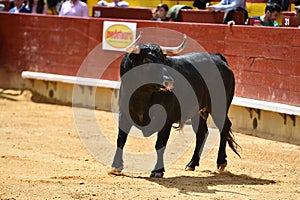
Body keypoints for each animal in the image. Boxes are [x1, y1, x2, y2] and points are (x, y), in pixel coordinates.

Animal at [110, 38, 239, 177]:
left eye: (163, 60)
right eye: (147, 61)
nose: (169, 81)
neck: (142, 95)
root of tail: (217, 57)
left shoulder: (165, 121)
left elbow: (160, 145)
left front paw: (157, 171)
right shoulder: (123, 115)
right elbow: (121, 139)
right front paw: (115, 166)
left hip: (219, 107)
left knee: (224, 127)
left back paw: (221, 162)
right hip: (197, 111)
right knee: (202, 133)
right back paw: (191, 164)